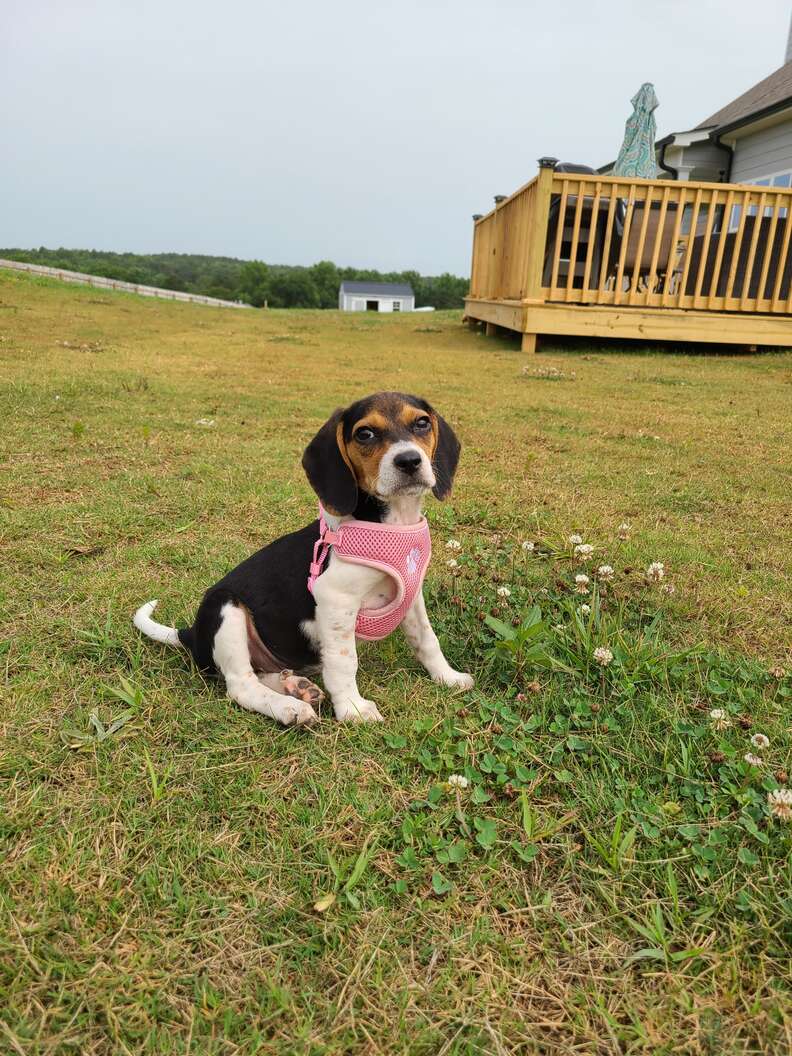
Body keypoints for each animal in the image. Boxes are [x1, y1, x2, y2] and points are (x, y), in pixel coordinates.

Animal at [133, 394, 475, 726]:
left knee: (261, 673)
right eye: (365, 433)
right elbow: (343, 662)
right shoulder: (335, 598)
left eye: (421, 423)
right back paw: (288, 707)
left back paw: (295, 686)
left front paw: (448, 677)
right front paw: (353, 709)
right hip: (224, 608)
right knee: (240, 684)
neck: (394, 522)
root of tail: (192, 633)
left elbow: (427, 640)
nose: (409, 461)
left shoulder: (412, 596)